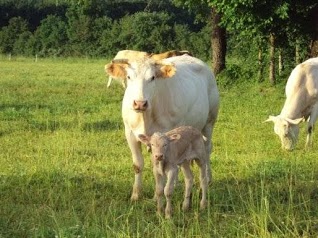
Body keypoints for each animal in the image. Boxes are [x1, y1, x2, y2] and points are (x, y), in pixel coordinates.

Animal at [105, 54, 220, 201]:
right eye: (129, 77)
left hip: (209, 122)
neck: (145, 116)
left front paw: (156, 196)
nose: (140, 103)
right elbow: (138, 165)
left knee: (207, 149)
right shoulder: (130, 133)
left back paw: (207, 180)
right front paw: (136, 195)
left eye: (152, 77)